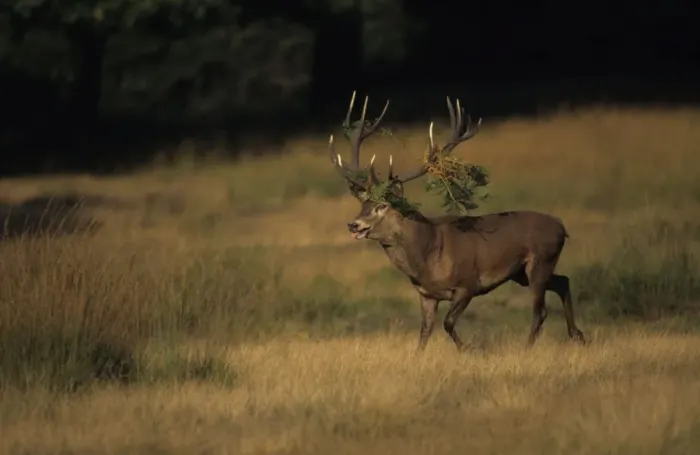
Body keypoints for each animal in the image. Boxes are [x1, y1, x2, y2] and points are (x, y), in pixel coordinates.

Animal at [327, 91, 586, 352]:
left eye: (382, 205)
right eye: (363, 203)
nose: (353, 224)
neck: (428, 257)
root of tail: (561, 227)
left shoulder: (468, 283)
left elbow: (448, 323)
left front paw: (469, 350)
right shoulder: (426, 295)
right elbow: (424, 332)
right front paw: (421, 356)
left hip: (540, 260)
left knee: (540, 310)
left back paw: (528, 347)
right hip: (521, 273)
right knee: (563, 281)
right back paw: (578, 335)